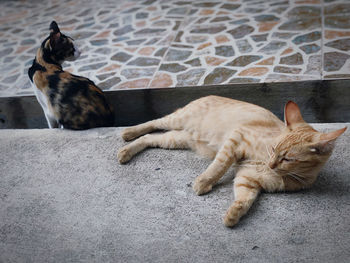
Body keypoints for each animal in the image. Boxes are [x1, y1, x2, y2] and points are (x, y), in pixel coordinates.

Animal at [117, 96, 344, 228]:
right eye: (273, 149)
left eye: (288, 159)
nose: (271, 164)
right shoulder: (236, 139)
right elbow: (219, 166)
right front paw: (203, 182)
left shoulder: (248, 179)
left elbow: (245, 199)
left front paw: (233, 215)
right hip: (177, 120)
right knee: (152, 123)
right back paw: (129, 133)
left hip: (177, 139)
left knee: (150, 138)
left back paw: (127, 151)